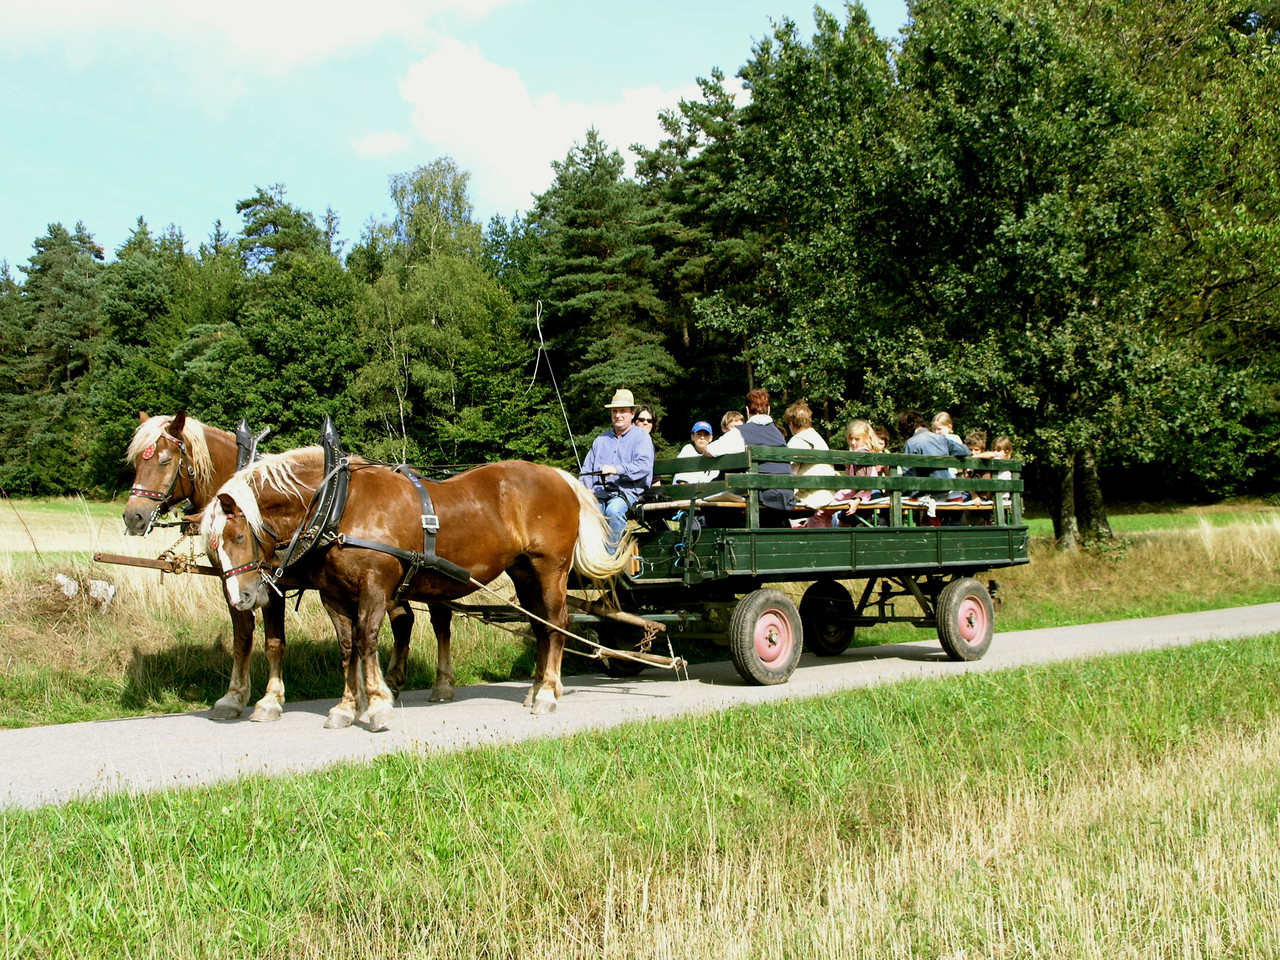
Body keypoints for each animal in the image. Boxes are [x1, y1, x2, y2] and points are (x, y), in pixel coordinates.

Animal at [122, 412, 430, 721]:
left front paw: (269, 700)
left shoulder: (269, 585)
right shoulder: (232, 583)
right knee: (404, 618)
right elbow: (242, 638)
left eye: (164, 460)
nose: (133, 516)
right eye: (136, 462)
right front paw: (233, 697)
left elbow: (274, 642)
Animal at [199, 450, 631, 731]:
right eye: (212, 545)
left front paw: (376, 704)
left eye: (238, 535)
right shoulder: (333, 594)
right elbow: (347, 646)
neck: (337, 505)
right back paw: (538, 688)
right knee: (540, 625)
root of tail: (559, 476)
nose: (242, 598)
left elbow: (368, 638)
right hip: (524, 572)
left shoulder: (375, 585)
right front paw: (346, 707)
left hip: (550, 567)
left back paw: (547, 695)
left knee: (558, 623)